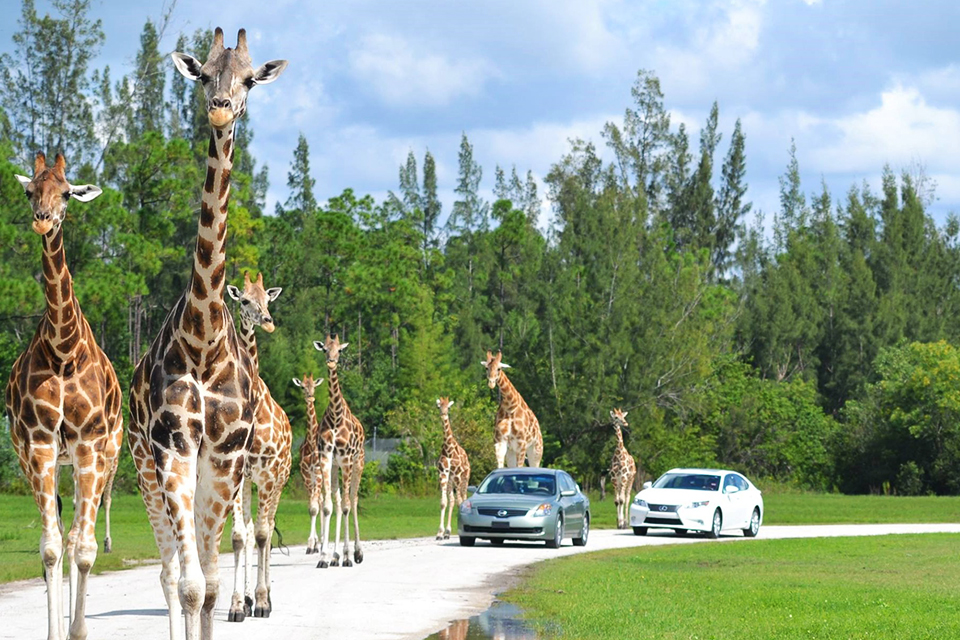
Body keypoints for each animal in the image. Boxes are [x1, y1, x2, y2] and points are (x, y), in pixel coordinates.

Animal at [127, 28, 287, 640]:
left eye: (248, 80)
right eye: (202, 75)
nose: (220, 108)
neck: (202, 339)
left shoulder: (223, 456)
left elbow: (214, 585)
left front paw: (244, 604)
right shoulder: (174, 449)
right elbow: (193, 585)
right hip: (143, 468)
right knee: (171, 572)